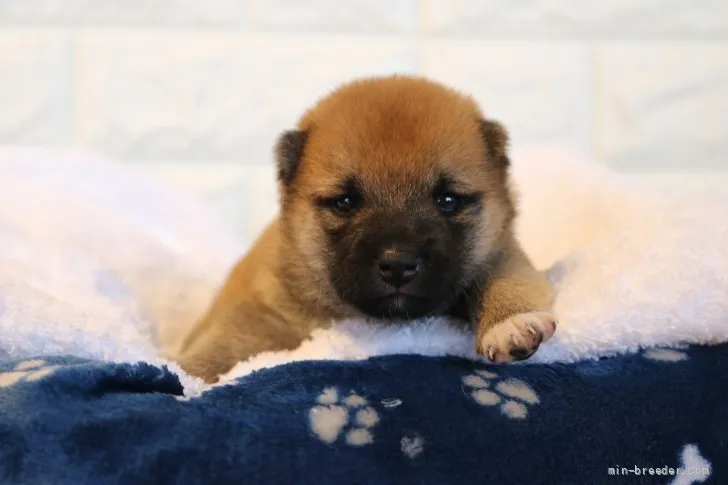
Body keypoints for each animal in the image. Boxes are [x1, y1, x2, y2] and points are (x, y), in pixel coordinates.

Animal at [173, 75, 556, 382]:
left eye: (448, 200)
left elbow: (503, 279)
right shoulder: (265, 310)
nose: (399, 265)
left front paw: (510, 323)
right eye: (345, 202)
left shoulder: (500, 252)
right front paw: (184, 374)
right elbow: (228, 341)